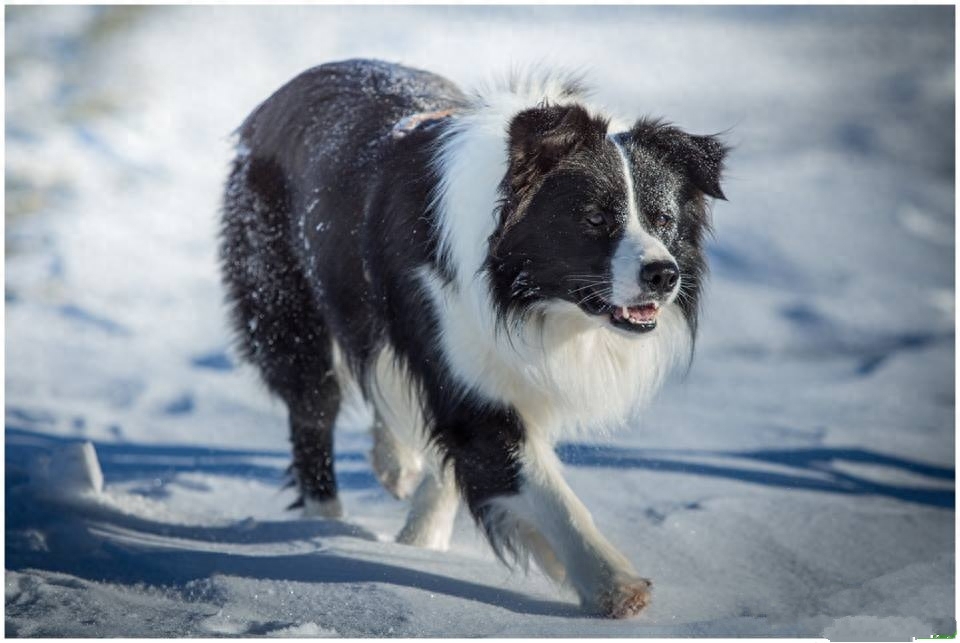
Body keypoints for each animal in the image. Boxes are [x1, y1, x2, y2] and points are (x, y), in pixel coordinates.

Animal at [219, 60, 728, 620]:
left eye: (663, 219)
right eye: (595, 217)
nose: (663, 274)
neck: (523, 293)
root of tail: (284, 92)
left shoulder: (508, 369)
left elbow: (455, 461)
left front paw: (421, 542)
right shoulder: (464, 366)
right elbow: (539, 485)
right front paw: (614, 583)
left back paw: (394, 465)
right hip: (283, 294)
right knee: (312, 405)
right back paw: (323, 528)